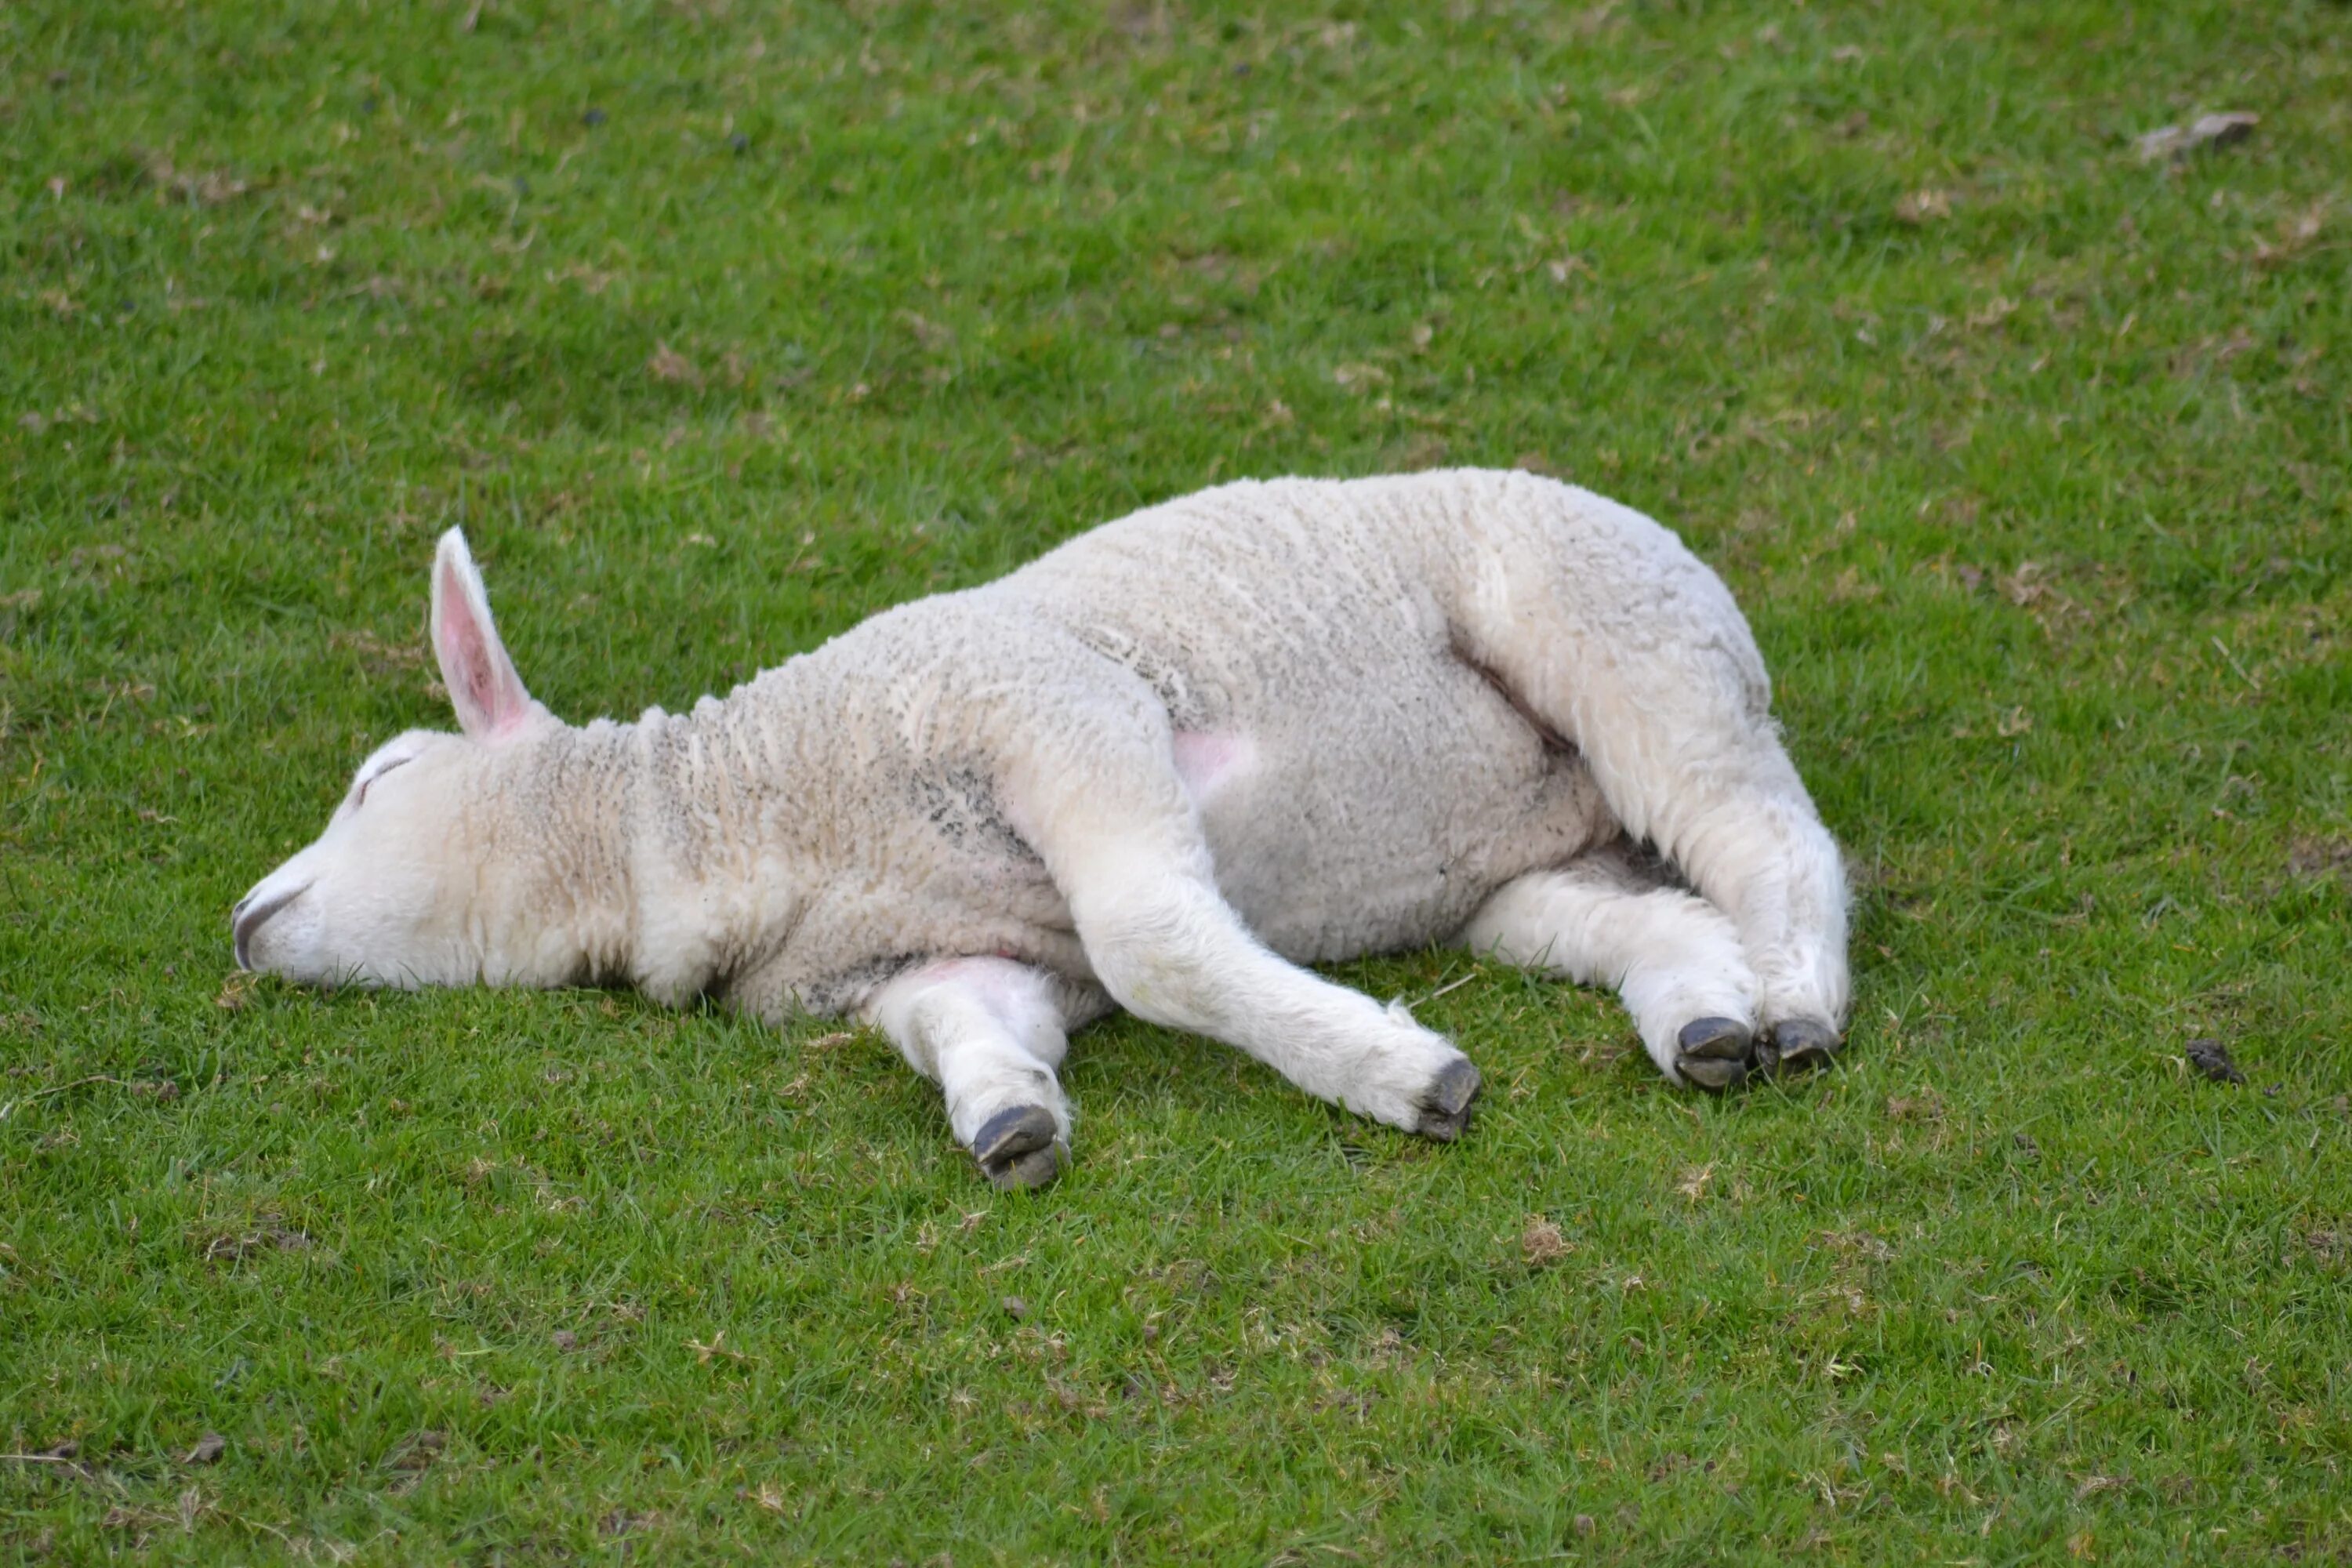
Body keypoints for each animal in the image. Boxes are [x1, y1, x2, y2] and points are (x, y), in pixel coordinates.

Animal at [243, 465, 1853, 1189]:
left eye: (379, 781)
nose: (245, 922)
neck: (723, 821)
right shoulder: (933, 956)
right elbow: (963, 1022)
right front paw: (1007, 1114)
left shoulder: (1057, 708)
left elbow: (1151, 942)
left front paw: (1400, 1075)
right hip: (1514, 871)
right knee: (1655, 908)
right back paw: (1707, 1020)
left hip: (1620, 636)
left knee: (1769, 838)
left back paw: (1797, 1002)